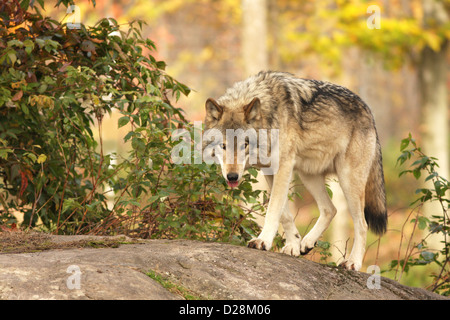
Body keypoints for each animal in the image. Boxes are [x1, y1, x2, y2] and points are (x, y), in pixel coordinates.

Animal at [204, 71, 386, 272]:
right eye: (223, 146)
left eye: (244, 144)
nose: (232, 176)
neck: (270, 115)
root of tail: (369, 111)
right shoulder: (270, 171)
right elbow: (284, 214)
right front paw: (293, 245)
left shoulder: (283, 167)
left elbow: (273, 209)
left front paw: (263, 240)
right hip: (309, 176)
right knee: (330, 209)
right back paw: (307, 242)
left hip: (348, 181)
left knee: (362, 224)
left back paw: (353, 262)